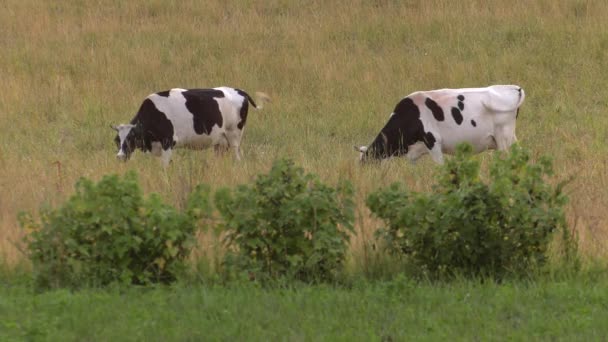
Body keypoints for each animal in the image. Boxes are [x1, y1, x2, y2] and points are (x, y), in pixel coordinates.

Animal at [111, 85, 268, 166]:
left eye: (130, 138)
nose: (119, 157)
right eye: (117, 140)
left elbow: (165, 166)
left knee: (237, 156)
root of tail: (240, 91)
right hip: (220, 141)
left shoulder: (168, 142)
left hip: (234, 134)